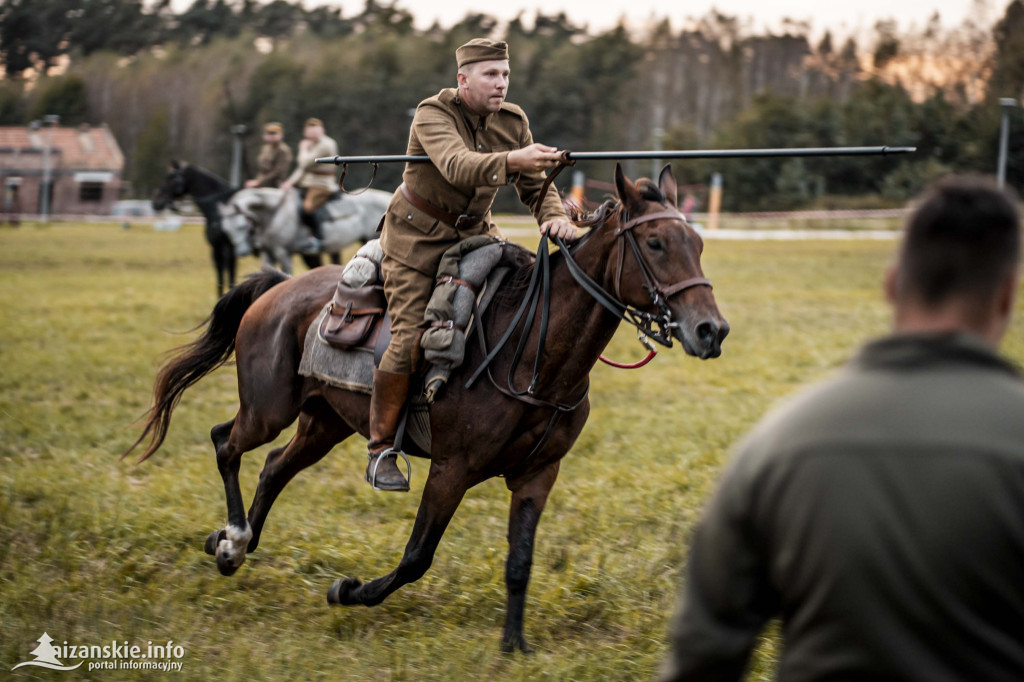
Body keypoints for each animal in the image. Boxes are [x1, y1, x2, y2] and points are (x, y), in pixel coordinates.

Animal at [218, 188, 389, 274]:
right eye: (227, 230)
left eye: (241, 226)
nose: (241, 252)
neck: (275, 212)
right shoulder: (268, 253)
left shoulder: (283, 253)